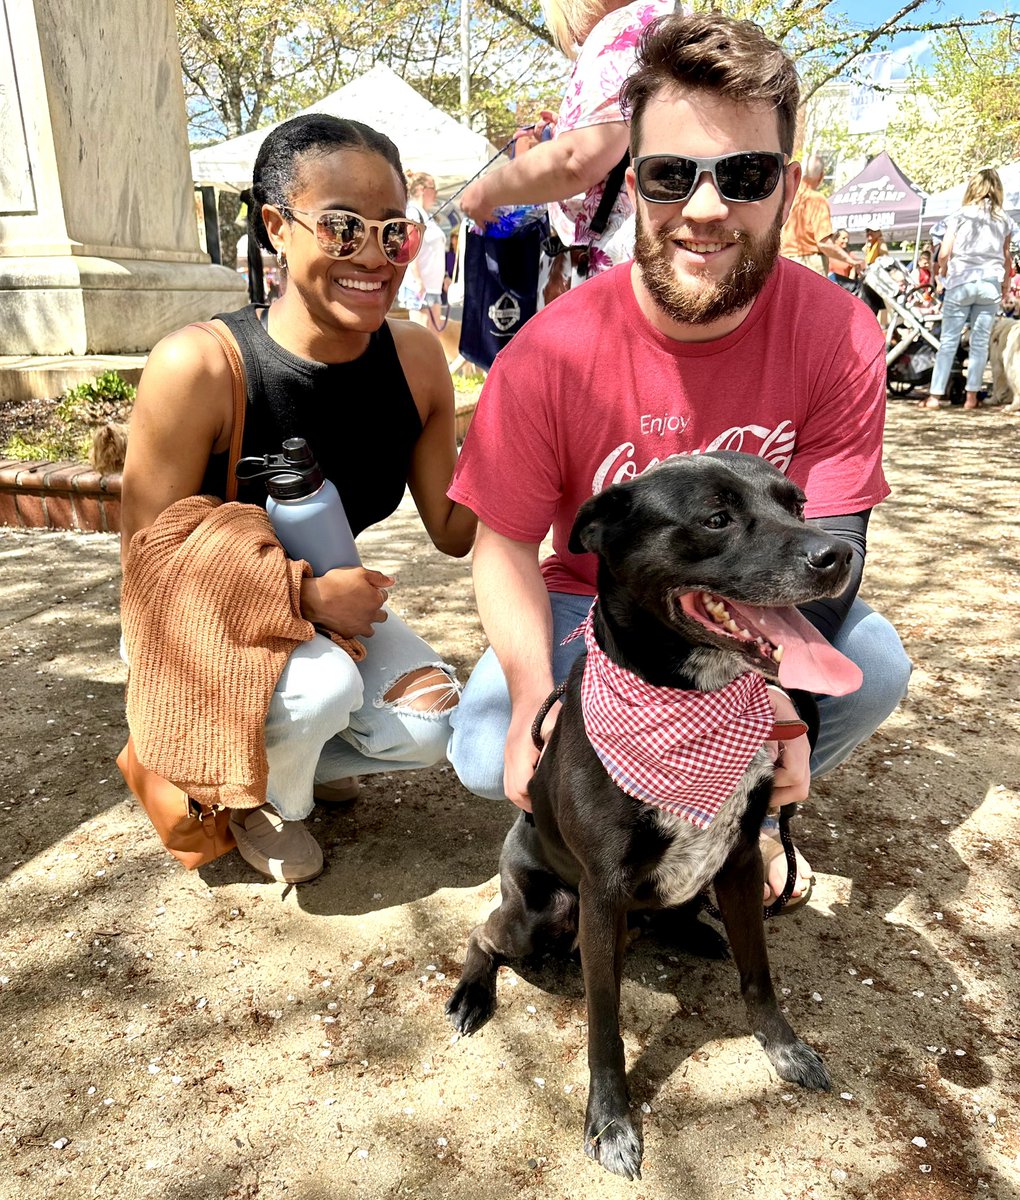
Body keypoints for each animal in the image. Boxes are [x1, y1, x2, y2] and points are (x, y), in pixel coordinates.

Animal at [446, 451, 859, 1180]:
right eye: (717, 518)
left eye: (798, 505)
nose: (838, 553)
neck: (690, 700)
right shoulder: (603, 892)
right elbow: (605, 1027)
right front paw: (611, 1121)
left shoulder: (741, 860)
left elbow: (760, 976)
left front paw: (784, 1048)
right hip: (537, 914)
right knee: (484, 935)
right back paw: (472, 995)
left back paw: (693, 931)